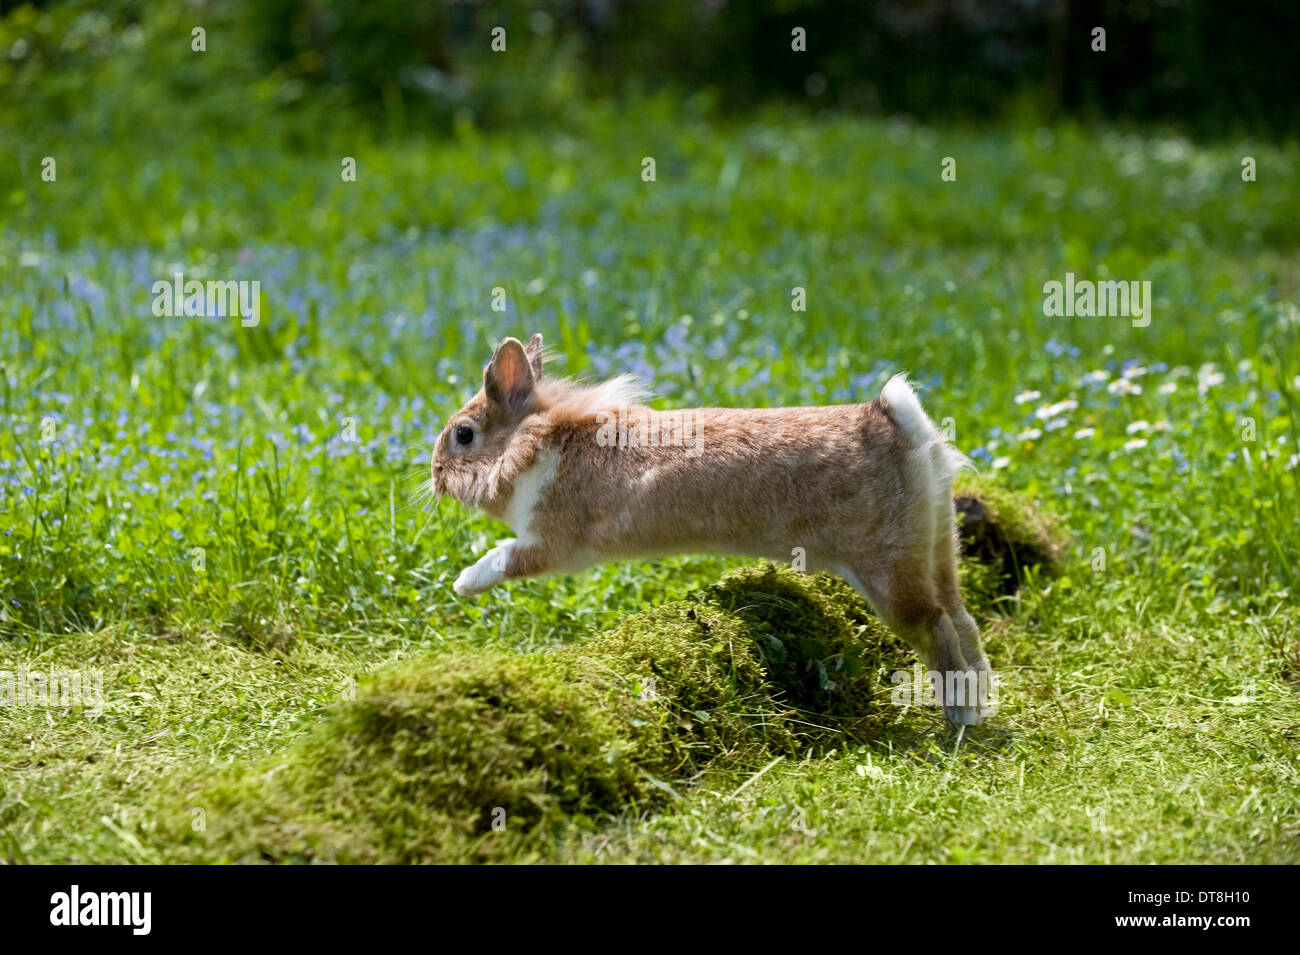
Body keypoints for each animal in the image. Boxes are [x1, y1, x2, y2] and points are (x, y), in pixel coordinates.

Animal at [430, 333, 994, 725]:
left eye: (464, 435)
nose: (434, 476)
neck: (533, 442)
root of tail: (901, 425)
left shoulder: (550, 543)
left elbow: (505, 556)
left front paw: (463, 582)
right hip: (936, 541)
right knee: (961, 616)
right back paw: (982, 700)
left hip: (886, 569)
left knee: (935, 625)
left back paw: (959, 715)